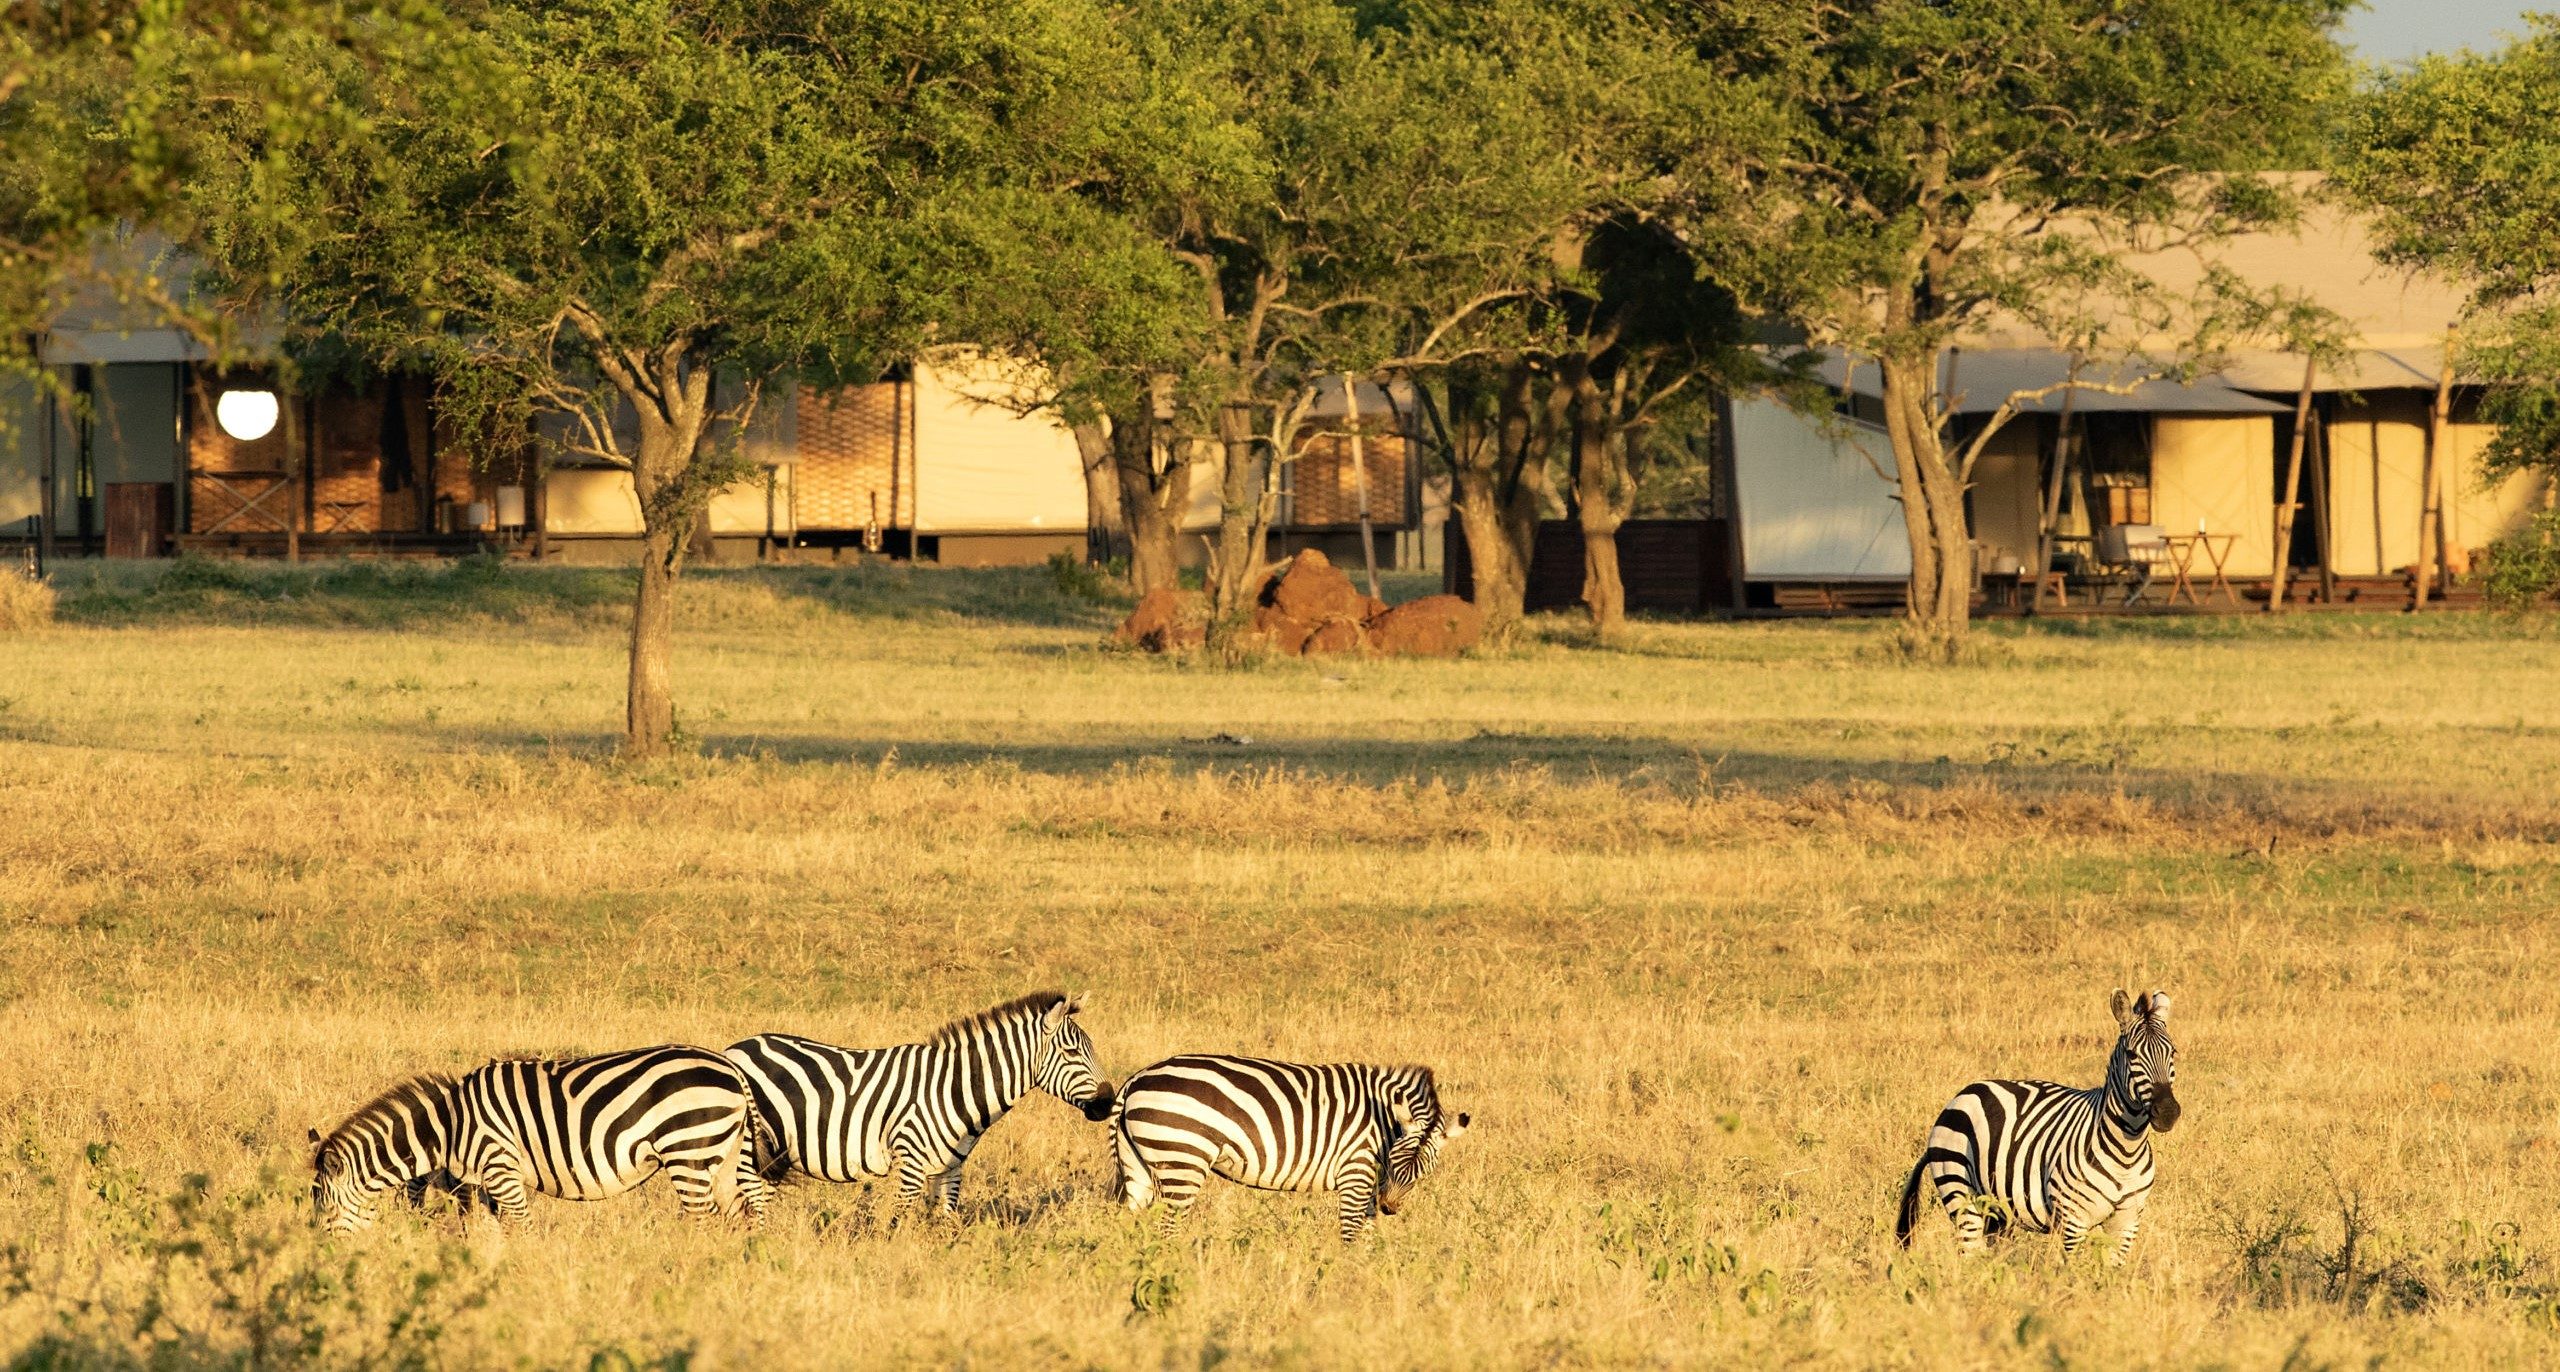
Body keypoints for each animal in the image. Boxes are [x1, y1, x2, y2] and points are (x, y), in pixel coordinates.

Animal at [309, 1044, 757, 1238]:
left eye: (324, 1207)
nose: (323, 1254)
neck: (449, 1126)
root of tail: (730, 1066)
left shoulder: (500, 1167)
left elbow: (520, 1228)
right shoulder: (482, 1182)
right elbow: (491, 1230)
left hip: (689, 1149)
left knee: (703, 1220)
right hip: (722, 1155)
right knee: (739, 1214)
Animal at [727, 988, 1116, 1223]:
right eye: (1071, 1052)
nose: (1109, 1102)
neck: (956, 1087)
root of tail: (738, 1046)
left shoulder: (951, 1168)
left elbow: (946, 1223)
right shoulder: (910, 1162)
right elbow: (896, 1223)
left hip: (771, 1155)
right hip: (749, 1148)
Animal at [1111, 1049, 1474, 1244]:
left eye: (1422, 1174)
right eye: (1396, 1162)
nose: (1391, 1207)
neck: (1382, 1121)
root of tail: (1135, 1080)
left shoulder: (1370, 1183)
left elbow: (1368, 1237)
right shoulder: (1355, 1174)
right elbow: (1351, 1233)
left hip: (1139, 1166)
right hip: (1182, 1160)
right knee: (1169, 1228)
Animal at [1904, 988, 2181, 1264]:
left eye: (2173, 1053)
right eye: (2132, 1054)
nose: (2168, 1112)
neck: (2126, 1150)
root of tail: (1966, 1092)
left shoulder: (2126, 1223)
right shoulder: (2073, 1223)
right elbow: (2074, 1273)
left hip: (1998, 1211)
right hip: (1960, 1193)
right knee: (1969, 1257)